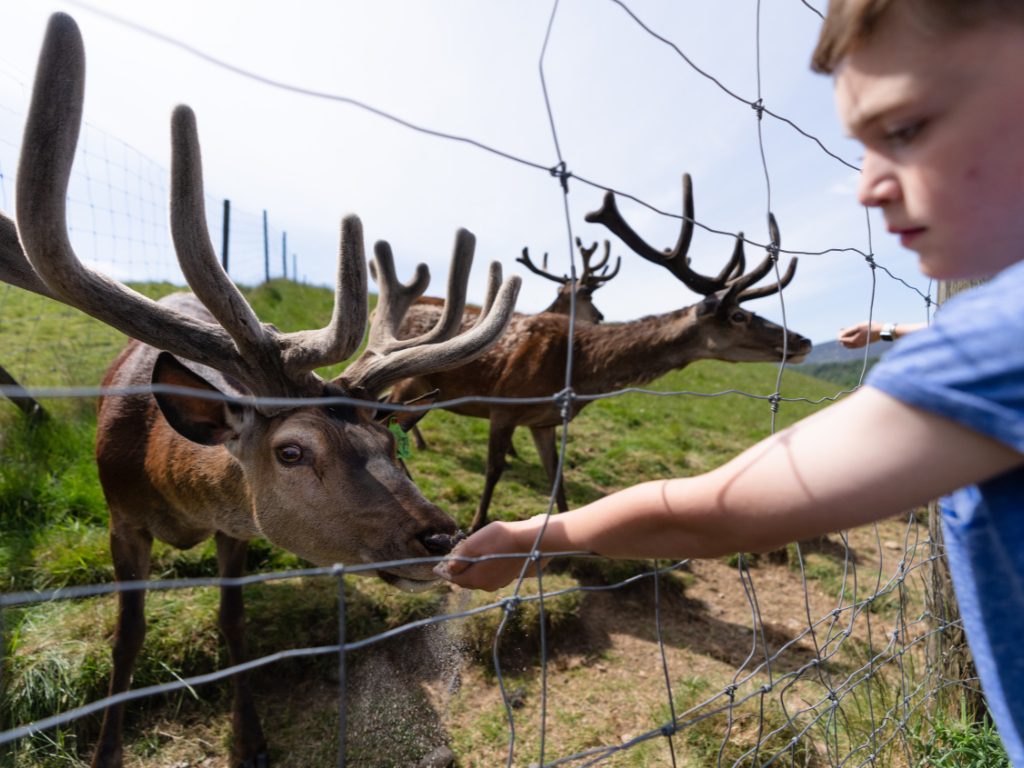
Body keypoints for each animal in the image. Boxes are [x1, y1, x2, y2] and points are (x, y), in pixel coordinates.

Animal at [1, 14, 521, 768]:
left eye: (390, 440)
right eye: (292, 451)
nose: (440, 537)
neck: (171, 488)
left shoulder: (234, 528)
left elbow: (234, 623)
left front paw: (250, 739)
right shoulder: (119, 518)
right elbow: (127, 639)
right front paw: (106, 750)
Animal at [388, 172, 812, 532]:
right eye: (739, 315)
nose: (802, 340)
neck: (575, 372)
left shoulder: (543, 421)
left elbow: (556, 479)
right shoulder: (503, 405)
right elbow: (495, 470)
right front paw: (477, 524)